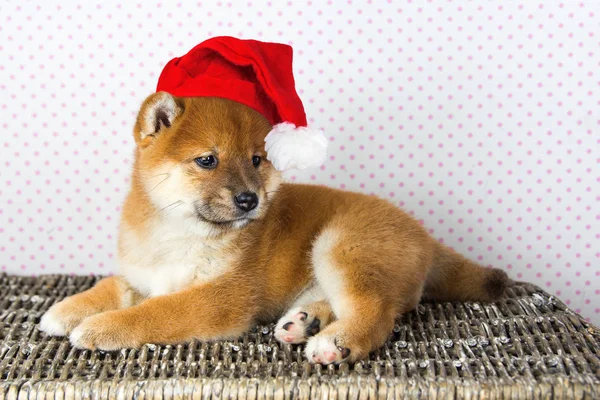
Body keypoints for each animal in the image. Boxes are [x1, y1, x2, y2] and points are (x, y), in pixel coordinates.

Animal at [38, 38, 506, 366]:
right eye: (207, 160)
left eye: (256, 160)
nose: (249, 199)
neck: (176, 234)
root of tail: (425, 236)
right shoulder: (140, 274)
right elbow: (111, 285)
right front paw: (65, 309)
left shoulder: (219, 297)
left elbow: (155, 311)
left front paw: (102, 326)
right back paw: (305, 322)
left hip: (341, 245)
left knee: (378, 313)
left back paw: (335, 342)